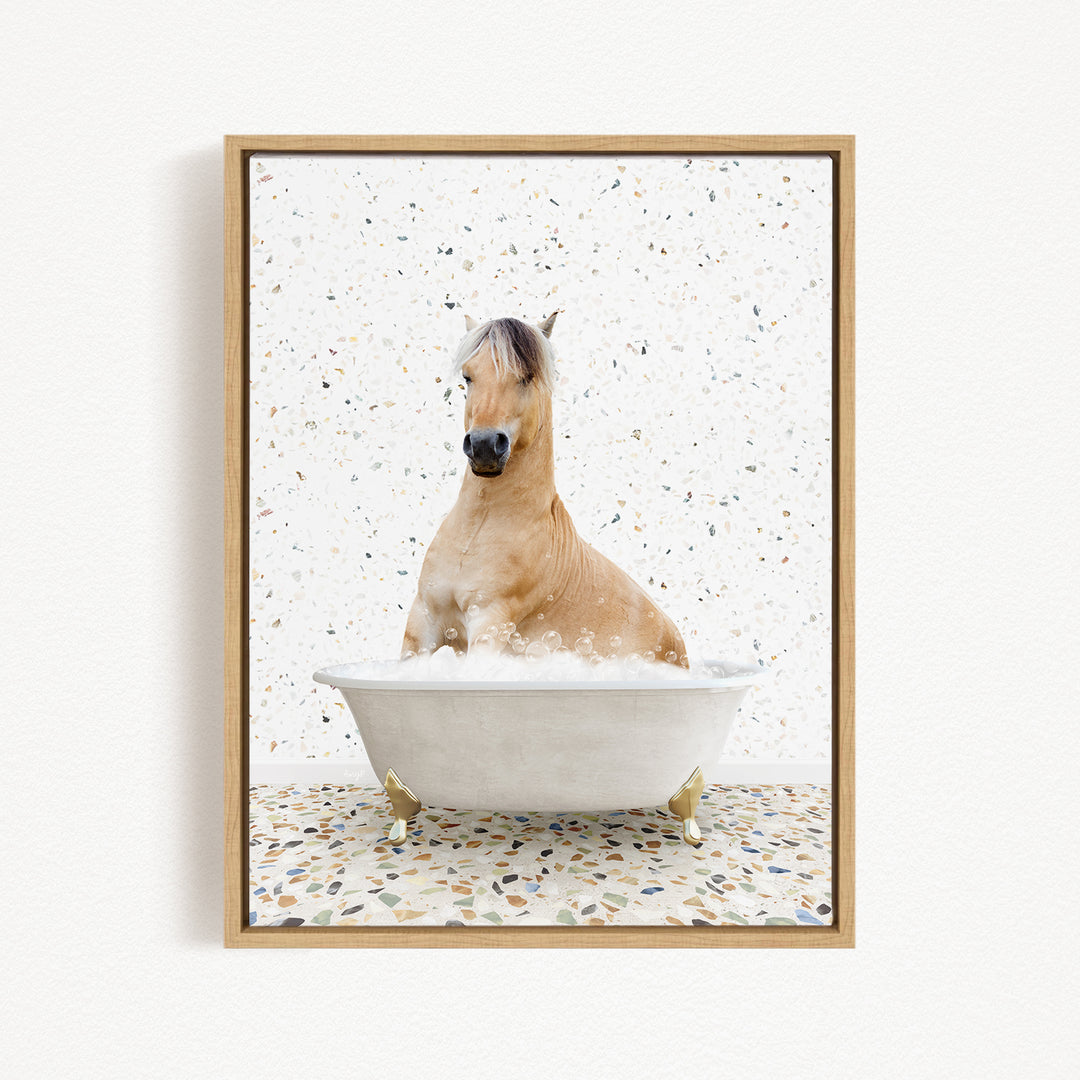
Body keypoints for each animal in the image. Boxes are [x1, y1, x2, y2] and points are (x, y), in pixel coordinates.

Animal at [402, 313, 688, 668]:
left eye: (526, 377)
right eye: (468, 377)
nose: (484, 446)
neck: (478, 530)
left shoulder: (490, 621)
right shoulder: (423, 618)